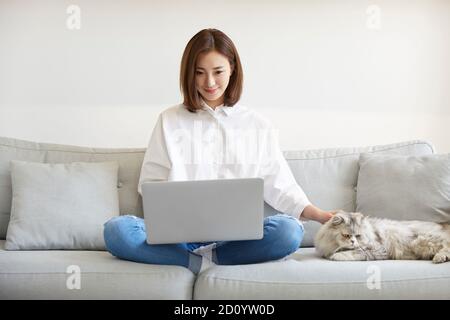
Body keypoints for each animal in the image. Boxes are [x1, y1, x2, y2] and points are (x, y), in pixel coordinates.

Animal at [312, 211, 450, 264]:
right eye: (346, 235)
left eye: (358, 236)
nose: (352, 242)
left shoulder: (377, 249)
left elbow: (353, 252)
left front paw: (335, 256)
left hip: (423, 240)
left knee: (446, 247)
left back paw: (439, 258)